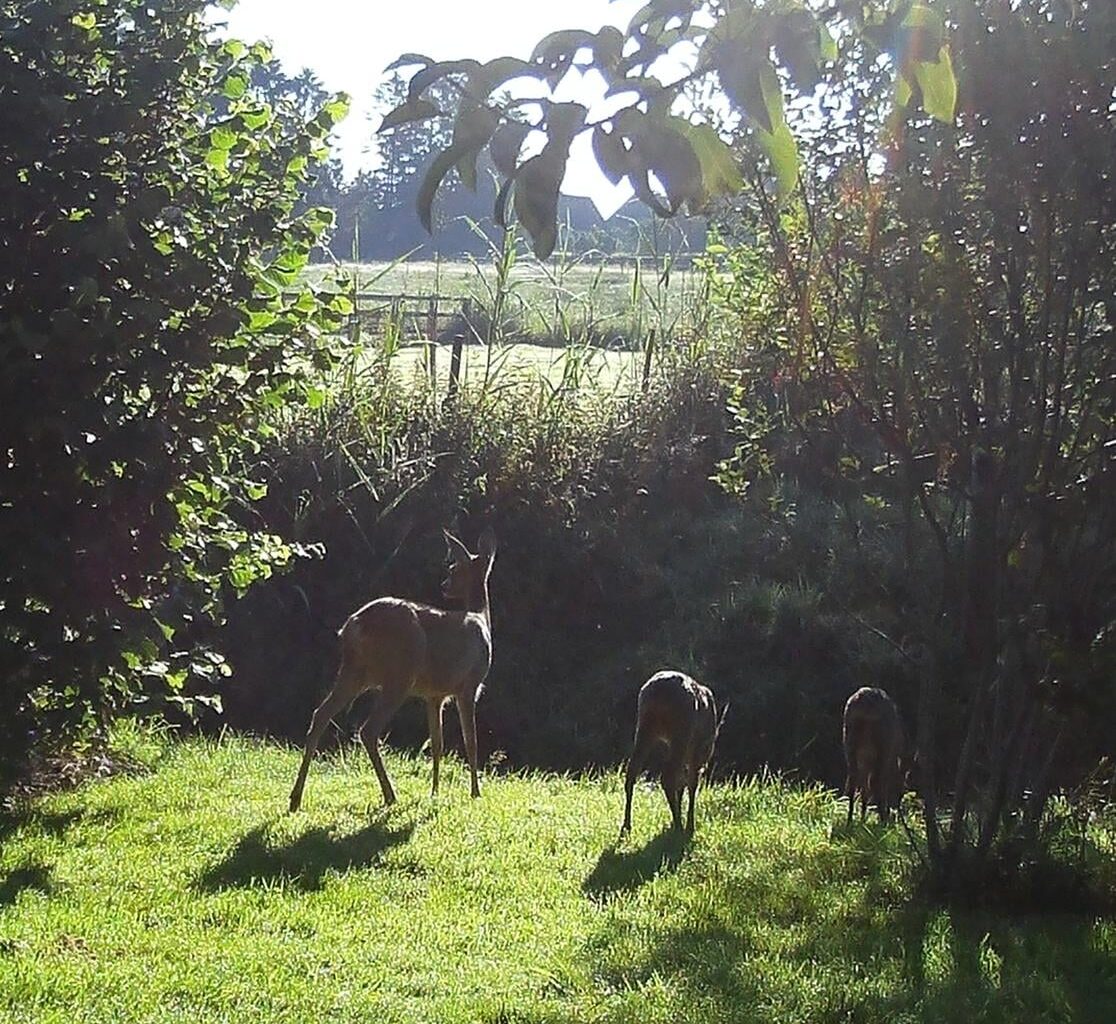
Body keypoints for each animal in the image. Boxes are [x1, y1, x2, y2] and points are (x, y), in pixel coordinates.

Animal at [287, 524, 497, 812]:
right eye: (453, 567)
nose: (443, 585)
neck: (482, 620)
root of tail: (353, 626)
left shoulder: (435, 695)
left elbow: (437, 742)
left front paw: (434, 791)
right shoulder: (469, 685)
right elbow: (471, 741)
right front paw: (475, 792)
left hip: (355, 671)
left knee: (321, 714)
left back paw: (295, 798)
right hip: (399, 673)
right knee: (368, 729)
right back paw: (390, 795)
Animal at [616, 673, 727, 834]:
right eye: (710, 745)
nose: (706, 763)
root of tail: (660, 693)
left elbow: (682, 784)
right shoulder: (697, 751)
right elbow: (691, 783)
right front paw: (690, 825)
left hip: (645, 726)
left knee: (632, 772)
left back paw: (626, 826)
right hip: (682, 731)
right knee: (668, 777)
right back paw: (679, 825)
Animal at [839, 691, 901, 825]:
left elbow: (864, 788)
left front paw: (862, 819)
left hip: (849, 739)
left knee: (853, 781)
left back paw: (850, 820)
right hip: (883, 744)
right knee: (875, 781)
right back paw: (882, 820)